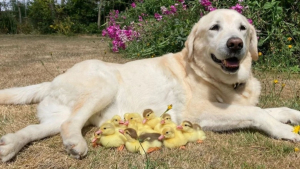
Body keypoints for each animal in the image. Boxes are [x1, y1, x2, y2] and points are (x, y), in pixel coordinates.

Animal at [0, 8, 300, 161]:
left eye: (242, 29)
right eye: (214, 28)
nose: (235, 44)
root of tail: (53, 79)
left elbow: (280, 109)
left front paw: (293, 117)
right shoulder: (198, 112)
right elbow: (257, 112)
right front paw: (286, 132)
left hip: (55, 115)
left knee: (38, 128)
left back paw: (9, 146)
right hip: (103, 85)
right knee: (69, 125)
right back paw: (75, 144)